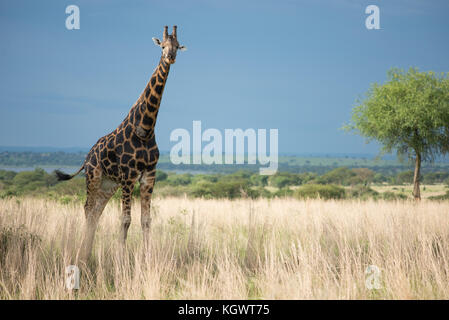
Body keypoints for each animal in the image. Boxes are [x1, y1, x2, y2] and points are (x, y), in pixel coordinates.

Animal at [55, 26, 186, 262]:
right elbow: (126, 219)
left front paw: (147, 259)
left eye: (178, 46)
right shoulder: (128, 176)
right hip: (94, 177)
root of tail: (87, 157)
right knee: (88, 209)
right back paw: (83, 255)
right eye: (162, 46)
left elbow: (146, 220)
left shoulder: (148, 176)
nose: (170, 57)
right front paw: (121, 259)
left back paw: (87, 253)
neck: (146, 129)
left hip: (109, 185)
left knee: (96, 212)